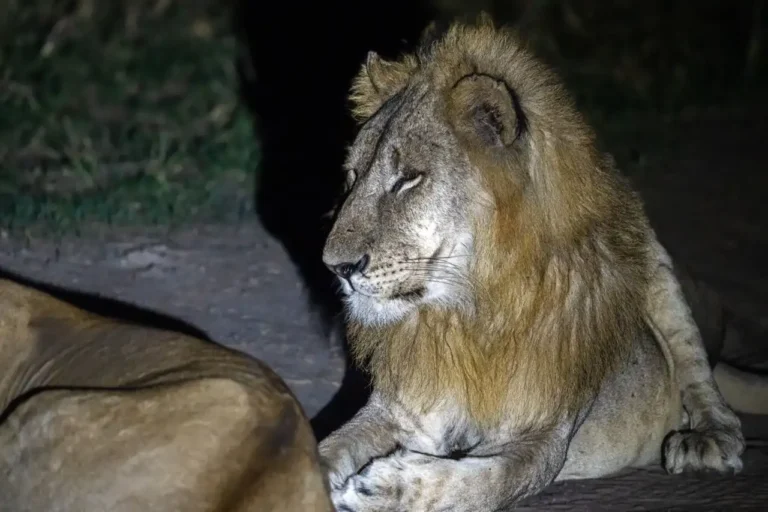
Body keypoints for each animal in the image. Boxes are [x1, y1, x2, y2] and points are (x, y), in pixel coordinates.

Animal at [317, 17, 768, 511]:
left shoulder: (543, 441)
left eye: (408, 179)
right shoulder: (398, 411)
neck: (464, 315)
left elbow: (481, 481)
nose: (335, 266)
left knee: (707, 387)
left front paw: (382, 486)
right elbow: (324, 448)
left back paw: (705, 441)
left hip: (659, 268)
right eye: (352, 177)